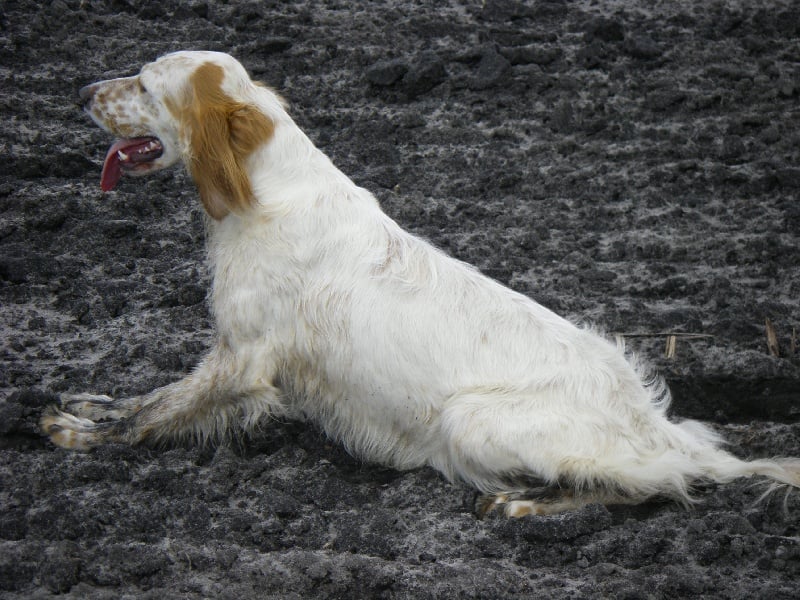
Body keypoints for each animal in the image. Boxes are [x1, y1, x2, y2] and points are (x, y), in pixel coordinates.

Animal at [42, 50, 800, 516]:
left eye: (144, 86)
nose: (78, 91)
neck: (263, 194)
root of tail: (655, 425)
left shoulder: (246, 358)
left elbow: (155, 415)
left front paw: (81, 437)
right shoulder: (229, 355)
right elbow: (153, 395)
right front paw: (91, 405)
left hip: (472, 422)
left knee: (658, 488)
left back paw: (522, 503)